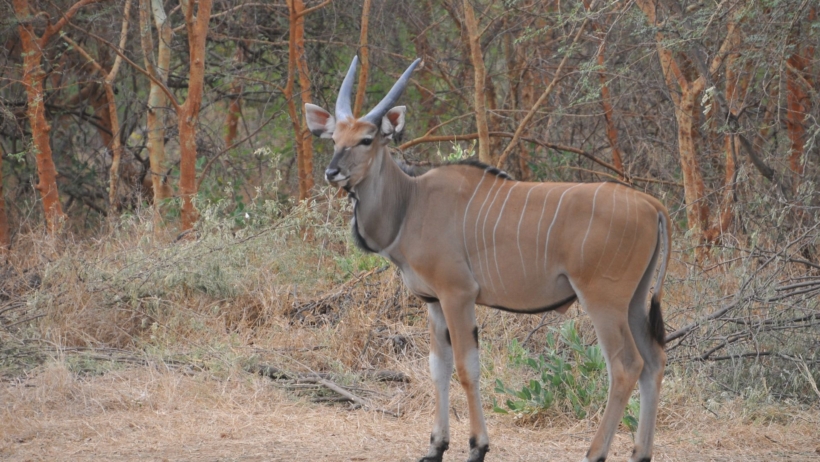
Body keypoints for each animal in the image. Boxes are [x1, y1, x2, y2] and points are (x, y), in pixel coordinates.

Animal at [304, 56, 668, 462]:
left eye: (366, 140)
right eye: (334, 140)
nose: (332, 172)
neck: (411, 203)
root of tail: (651, 205)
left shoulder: (458, 295)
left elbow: (467, 368)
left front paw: (477, 446)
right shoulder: (433, 302)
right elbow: (438, 367)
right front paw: (435, 446)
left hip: (603, 302)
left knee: (625, 366)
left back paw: (594, 452)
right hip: (633, 302)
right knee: (654, 362)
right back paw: (640, 453)